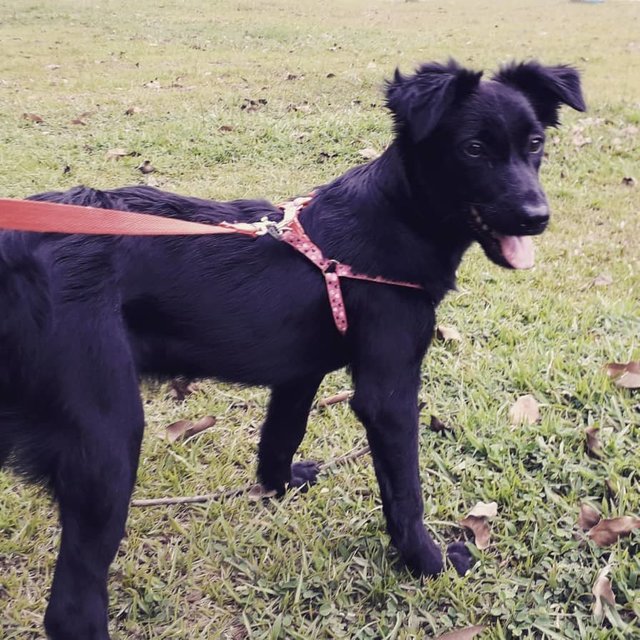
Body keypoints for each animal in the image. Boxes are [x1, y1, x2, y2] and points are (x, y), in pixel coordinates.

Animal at [0, 58, 584, 636]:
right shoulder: (388, 394)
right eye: (473, 149)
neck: (396, 219)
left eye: (534, 143)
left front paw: (279, 485)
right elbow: (405, 492)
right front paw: (430, 563)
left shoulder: (299, 373)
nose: (537, 216)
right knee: (72, 607)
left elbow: (282, 434)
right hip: (106, 439)